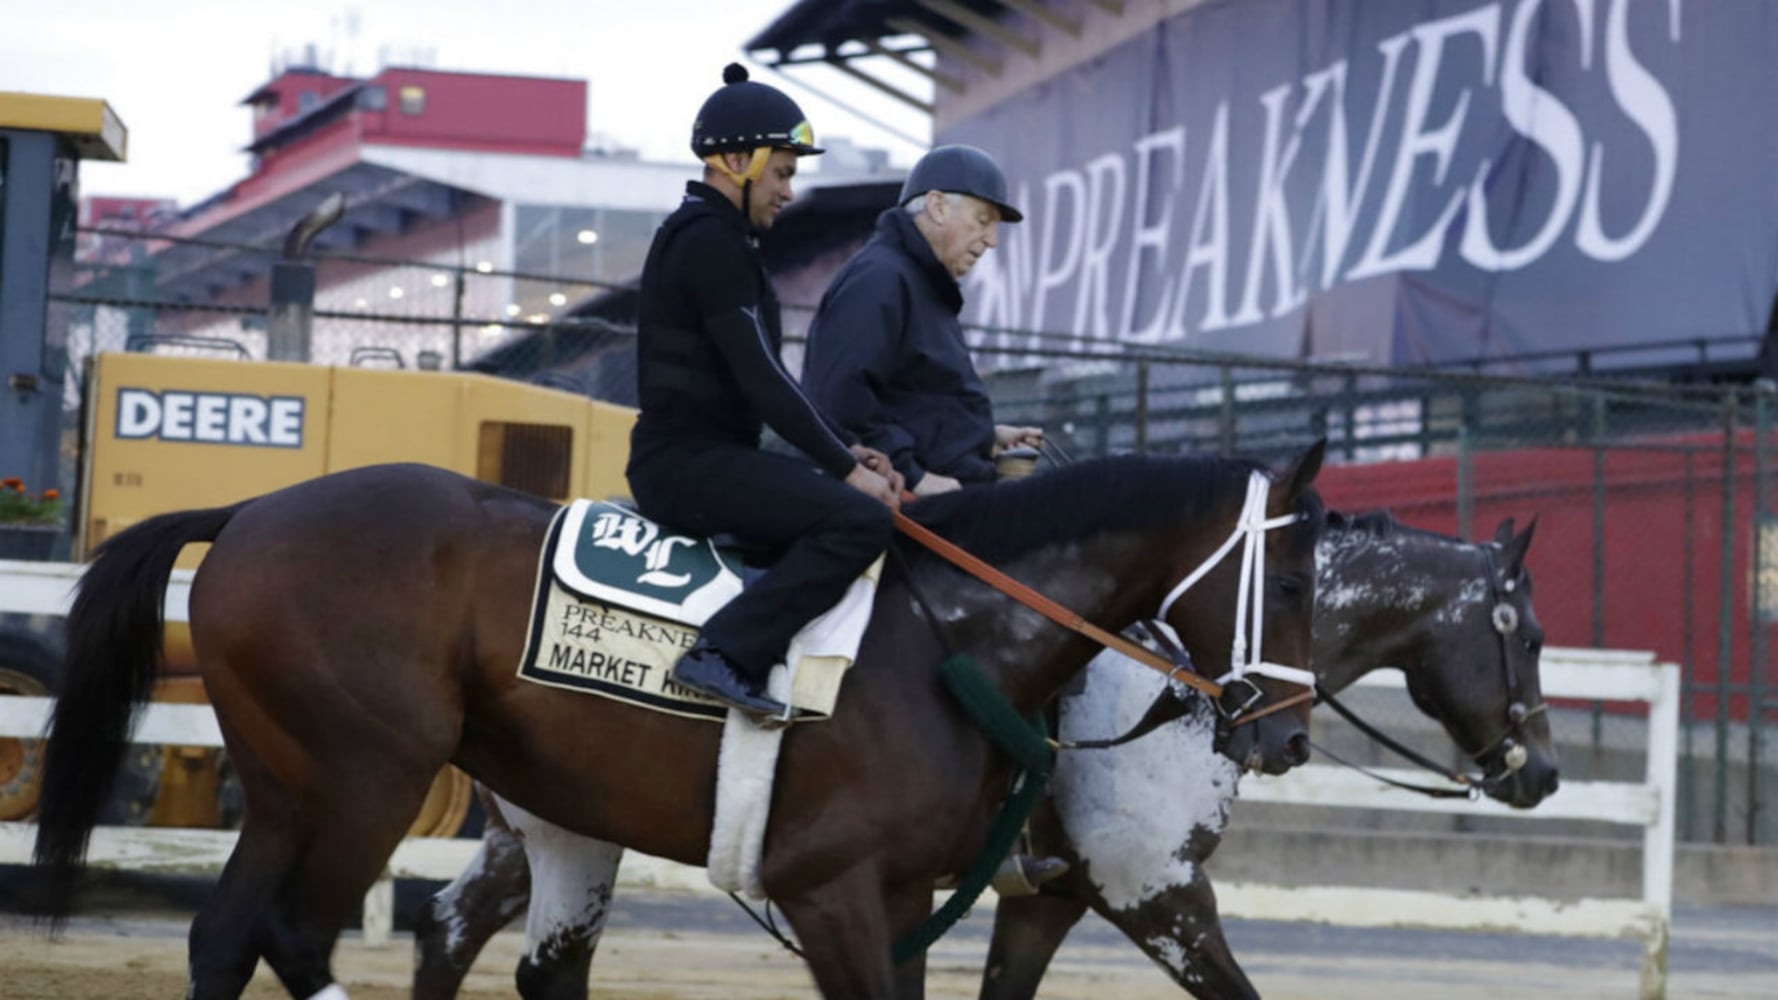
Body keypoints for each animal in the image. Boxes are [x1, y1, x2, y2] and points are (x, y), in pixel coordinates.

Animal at [34, 444, 1329, 996]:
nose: (1287, 736)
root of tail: (255, 507)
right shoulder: (832, 888)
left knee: (226, 936)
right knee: (298, 935)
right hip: (365, 779)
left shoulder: (913, 893)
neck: (947, 633)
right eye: (1291, 575)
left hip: (293, 783)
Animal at [408, 505, 1550, 996]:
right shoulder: (1157, 895)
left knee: (452, 925)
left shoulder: (1044, 899)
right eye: (1530, 636)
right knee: (457, 928)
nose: (1537, 771)